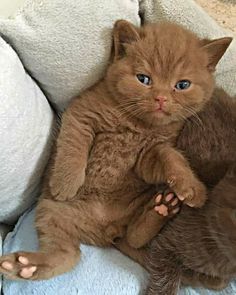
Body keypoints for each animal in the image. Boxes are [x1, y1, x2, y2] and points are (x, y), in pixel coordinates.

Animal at [0, 21, 231, 282]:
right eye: (144, 79)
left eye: (182, 85)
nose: (161, 98)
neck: (138, 124)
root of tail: (105, 230)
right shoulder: (81, 114)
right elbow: (73, 147)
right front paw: (66, 183)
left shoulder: (149, 156)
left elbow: (169, 156)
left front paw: (190, 187)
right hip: (51, 210)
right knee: (67, 254)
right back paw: (24, 266)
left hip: (139, 199)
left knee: (132, 237)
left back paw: (163, 207)